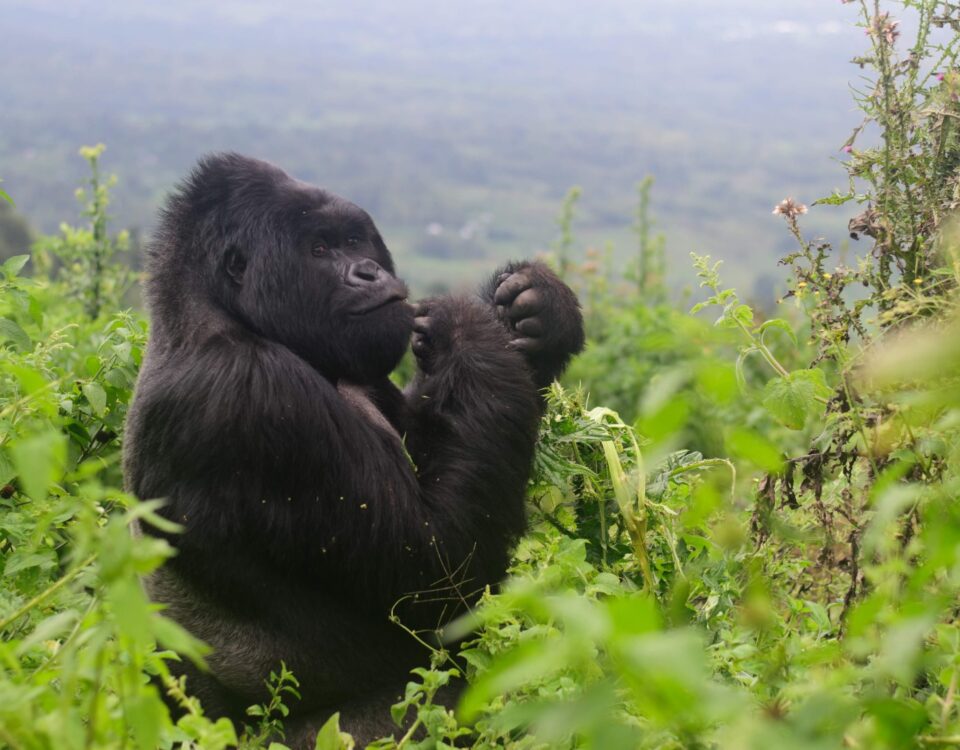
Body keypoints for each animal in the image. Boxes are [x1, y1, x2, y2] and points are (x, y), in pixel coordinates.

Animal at [123, 154, 580, 748]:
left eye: (355, 241)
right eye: (319, 249)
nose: (369, 272)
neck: (213, 311)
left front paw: (539, 311)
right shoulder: (253, 395)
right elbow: (440, 568)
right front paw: (468, 328)